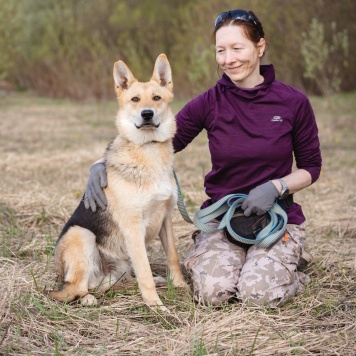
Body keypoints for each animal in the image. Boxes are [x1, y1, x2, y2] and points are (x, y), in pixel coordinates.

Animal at [46, 52, 189, 308]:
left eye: (156, 98)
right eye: (135, 99)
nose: (147, 114)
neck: (148, 149)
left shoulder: (166, 219)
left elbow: (172, 256)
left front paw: (180, 285)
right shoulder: (134, 228)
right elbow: (144, 271)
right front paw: (156, 306)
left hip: (118, 267)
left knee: (115, 281)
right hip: (82, 234)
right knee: (74, 288)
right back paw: (87, 298)